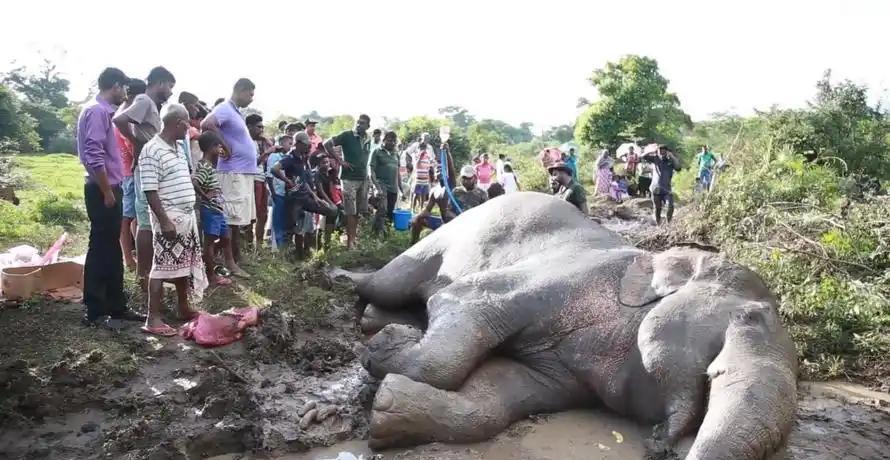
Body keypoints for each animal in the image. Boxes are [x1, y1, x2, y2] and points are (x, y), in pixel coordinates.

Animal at [355, 192, 798, 459]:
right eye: (750, 317)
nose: (660, 447)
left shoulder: (566, 379)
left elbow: (496, 395)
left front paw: (385, 411)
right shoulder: (565, 278)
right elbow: (460, 302)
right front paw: (385, 347)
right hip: (442, 237)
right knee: (387, 282)